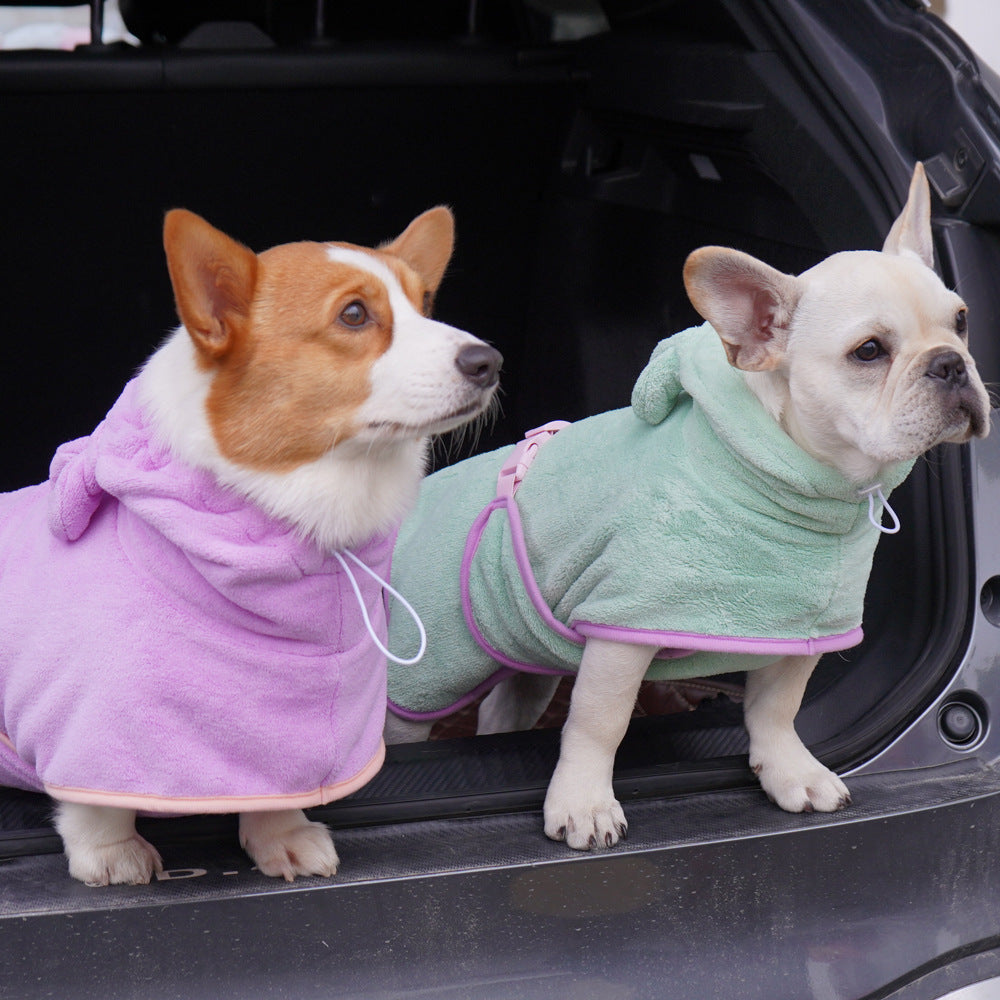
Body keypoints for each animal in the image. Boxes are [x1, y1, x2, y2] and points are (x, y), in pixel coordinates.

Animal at [0, 205, 500, 884]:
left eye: (424, 303)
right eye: (354, 315)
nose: (489, 361)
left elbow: (276, 789)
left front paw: (281, 837)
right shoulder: (90, 724)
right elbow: (95, 802)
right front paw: (112, 854)